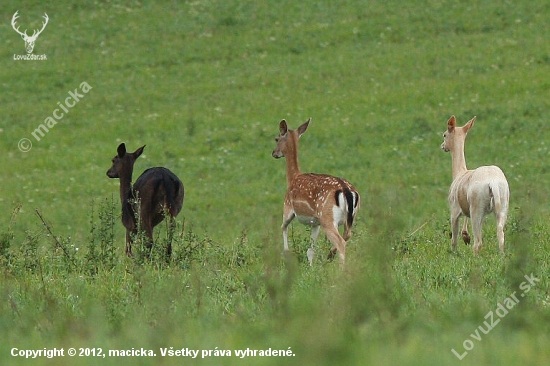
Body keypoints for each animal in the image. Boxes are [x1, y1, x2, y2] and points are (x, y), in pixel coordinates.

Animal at [272, 118, 362, 264]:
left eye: (276, 138)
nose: (274, 153)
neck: (292, 178)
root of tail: (346, 190)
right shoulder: (315, 223)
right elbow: (310, 250)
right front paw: (311, 266)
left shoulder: (288, 207)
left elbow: (283, 227)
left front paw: (286, 253)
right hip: (350, 217)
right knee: (347, 235)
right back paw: (330, 254)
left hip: (327, 217)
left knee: (341, 242)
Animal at [442, 116, 512, 253]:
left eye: (444, 135)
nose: (442, 146)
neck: (459, 173)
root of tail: (493, 182)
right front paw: (466, 237)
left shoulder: (454, 209)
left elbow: (454, 239)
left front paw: (454, 253)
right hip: (502, 206)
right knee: (500, 235)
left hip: (476, 208)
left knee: (478, 242)